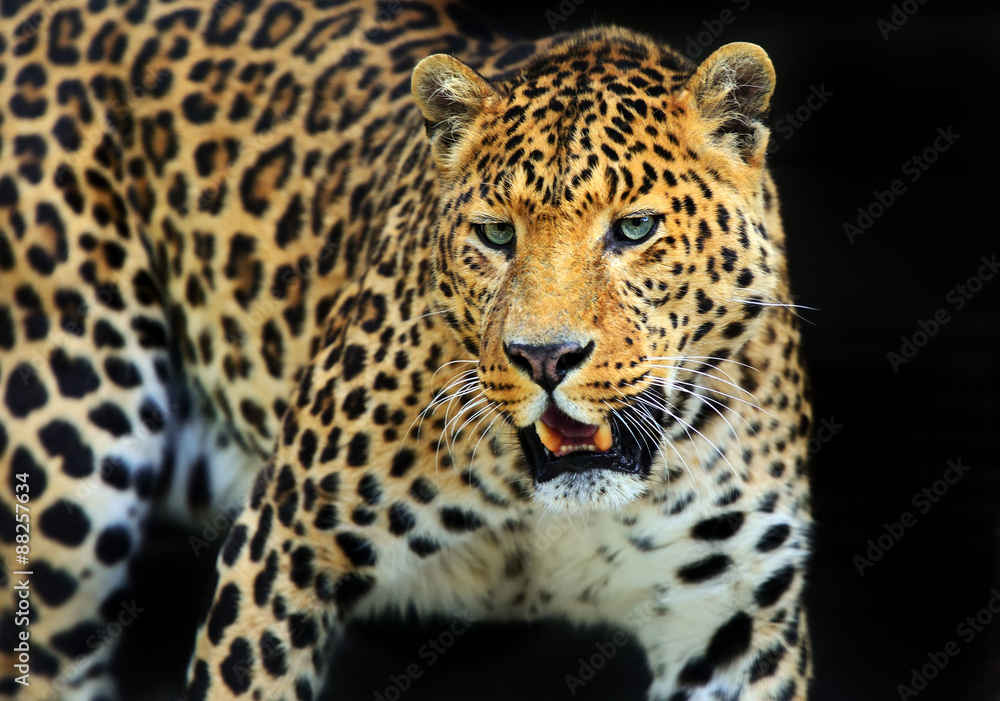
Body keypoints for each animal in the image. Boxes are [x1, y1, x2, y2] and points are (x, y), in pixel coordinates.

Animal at [0, 1, 814, 699]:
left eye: (636, 228)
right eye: (496, 234)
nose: (544, 358)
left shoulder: (734, 621)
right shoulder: (283, 551)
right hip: (67, 480)